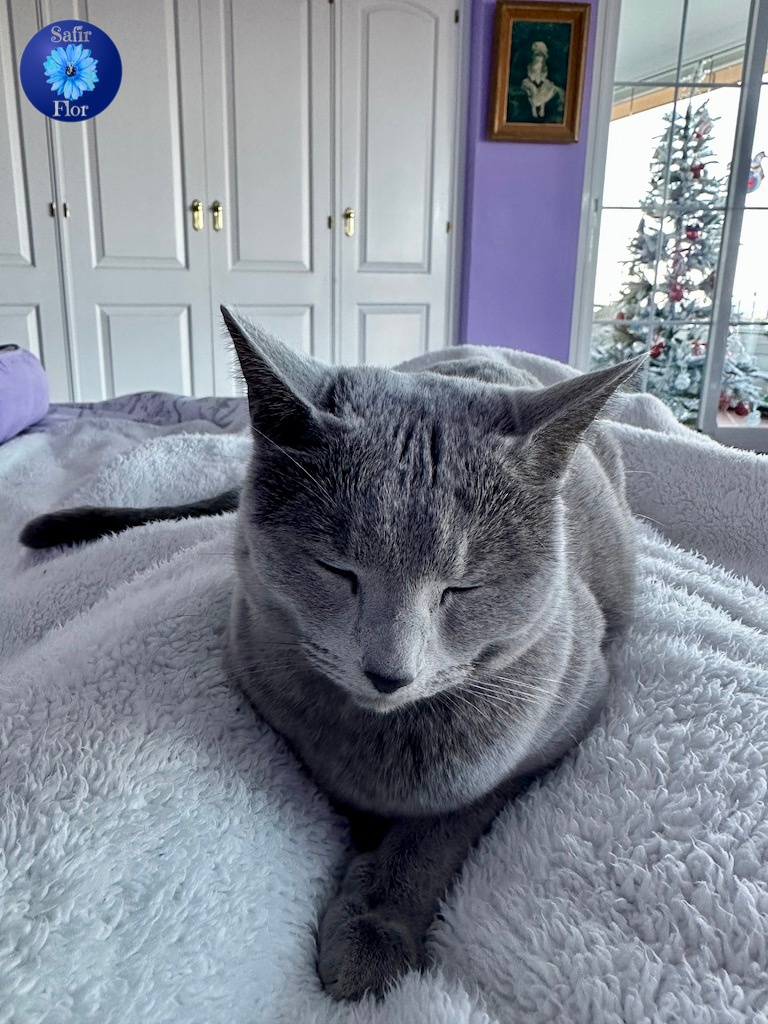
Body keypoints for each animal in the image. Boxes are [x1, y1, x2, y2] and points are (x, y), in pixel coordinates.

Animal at [20, 306, 643, 1001]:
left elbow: (436, 831)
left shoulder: (550, 734)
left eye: (460, 588)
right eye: (337, 571)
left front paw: (373, 926)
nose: (389, 671)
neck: (384, 738)